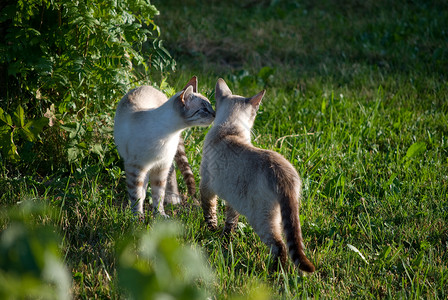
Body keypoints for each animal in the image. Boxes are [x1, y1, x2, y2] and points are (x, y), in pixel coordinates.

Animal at [114, 77, 215, 218]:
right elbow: (136, 195)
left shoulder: (161, 167)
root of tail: (149, 86)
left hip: (166, 162)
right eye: (204, 109)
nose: (215, 114)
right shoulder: (136, 167)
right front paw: (137, 216)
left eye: (210, 106)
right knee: (142, 187)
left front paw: (160, 215)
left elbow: (158, 195)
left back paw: (173, 198)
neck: (171, 133)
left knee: (171, 172)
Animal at [200, 78, 316, 274]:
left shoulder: (206, 185)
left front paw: (210, 230)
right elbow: (230, 223)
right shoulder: (233, 199)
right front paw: (225, 240)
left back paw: (275, 272)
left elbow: (209, 211)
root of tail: (283, 173)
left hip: (261, 218)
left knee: (280, 246)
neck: (230, 129)